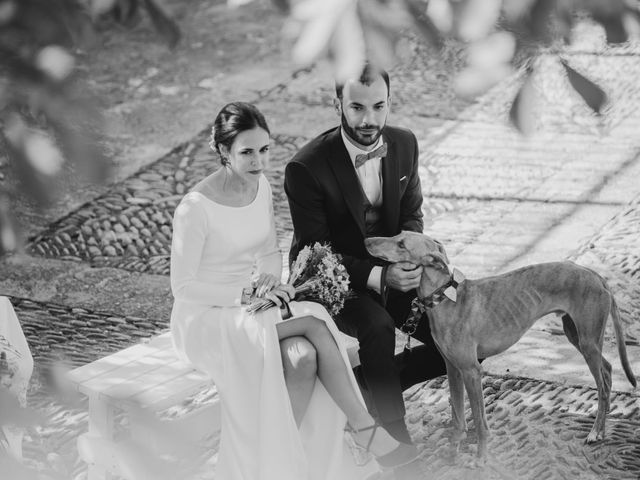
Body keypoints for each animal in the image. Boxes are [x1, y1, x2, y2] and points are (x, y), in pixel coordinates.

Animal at [362, 232, 636, 462]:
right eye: (397, 235)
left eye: (401, 244)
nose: (367, 241)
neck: (445, 300)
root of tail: (595, 275)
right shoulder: (452, 369)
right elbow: (458, 418)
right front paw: (453, 454)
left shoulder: (472, 371)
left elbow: (479, 421)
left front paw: (481, 459)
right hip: (577, 336)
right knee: (608, 370)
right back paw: (603, 420)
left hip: (587, 340)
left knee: (603, 382)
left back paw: (596, 431)